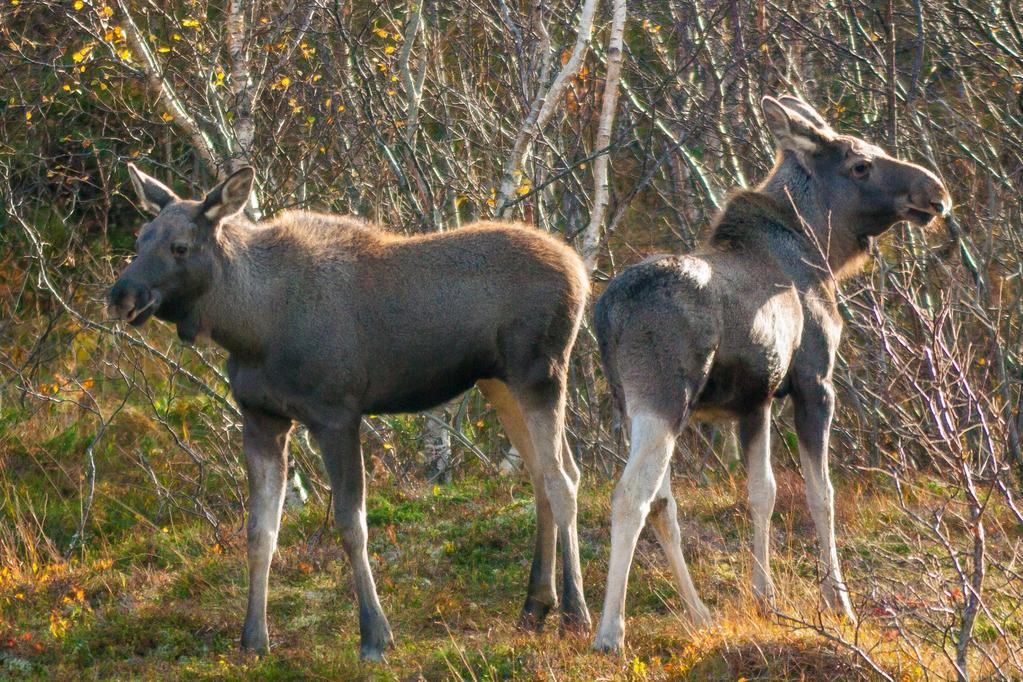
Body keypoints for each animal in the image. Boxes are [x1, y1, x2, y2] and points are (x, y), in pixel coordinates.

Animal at [105, 162, 593, 658]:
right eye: (141, 238)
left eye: (179, 246)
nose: (121, 295)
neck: (250, 328)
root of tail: (580, 270)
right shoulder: (261, 418)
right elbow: (260, 530)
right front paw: (254, 639)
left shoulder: (336, 413)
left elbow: (350, 523)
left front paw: (375, 634)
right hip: (499, 381)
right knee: (542, 474)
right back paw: (536, 605)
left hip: (541, 372)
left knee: (563, 478)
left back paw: (575, 613)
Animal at [593, 96, 949, 650]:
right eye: (860, 165)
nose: (935, 192)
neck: (822, 251)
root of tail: (605, 316)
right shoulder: (813, 384)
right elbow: (821, 494)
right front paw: (838, 600)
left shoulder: (754, 401)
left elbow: (763, 492)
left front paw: (764, 596)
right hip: (663, 399)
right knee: (632, 497)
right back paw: (611, 632)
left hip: (632, 405)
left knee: (662, 503)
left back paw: (699, 614)